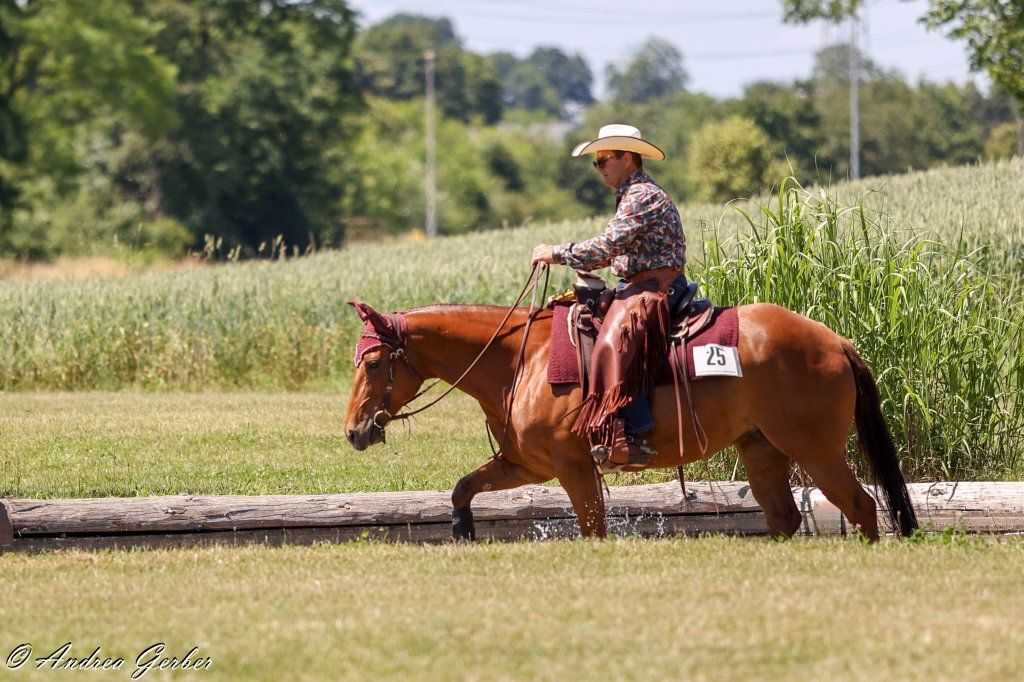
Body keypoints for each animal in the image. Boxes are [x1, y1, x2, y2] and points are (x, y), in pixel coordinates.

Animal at [343, 299, 918, 541]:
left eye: (372, 363)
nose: (353, 430)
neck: (520, 361)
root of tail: (835, 341)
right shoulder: (524, 463)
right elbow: (464, 487)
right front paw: (462, 531)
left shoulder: (573, 466)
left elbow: (593, 527)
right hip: (762, 450)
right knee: (784, 518)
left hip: (816, 450)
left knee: (862, 506)